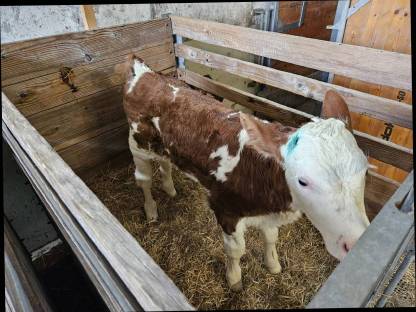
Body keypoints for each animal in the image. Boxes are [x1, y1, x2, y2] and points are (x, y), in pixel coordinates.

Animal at [116, 54, 370, 292]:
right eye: (303, 181)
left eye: (365, 171)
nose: (355, 245)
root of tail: (144, 72)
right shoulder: (225, 209)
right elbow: (236, 250)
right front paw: (235, 279)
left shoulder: (269, 212)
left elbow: (271, 237)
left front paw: (273, 264)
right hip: (137, 144)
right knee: (144, 181)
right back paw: (151, 211)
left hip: (163, 146)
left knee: (165, 163)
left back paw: (170, 189)